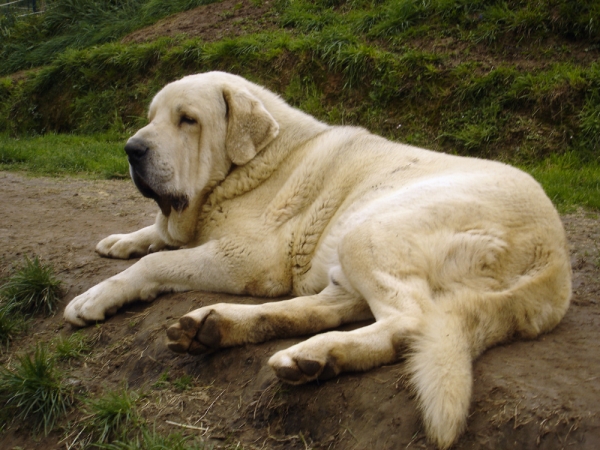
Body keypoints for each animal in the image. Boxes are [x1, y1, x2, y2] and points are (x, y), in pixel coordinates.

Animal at [64, 72, 572, 448]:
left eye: (187, 120)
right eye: (151, 118)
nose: (132, 149)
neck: (252, 164)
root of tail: (555, 260)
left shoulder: (248, 258)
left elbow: (157, 264)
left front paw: (94, 297)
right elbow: (154, 235)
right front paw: (120, 241)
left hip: (369, 231)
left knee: (410, 321)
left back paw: (312, 352)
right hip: (355, 249)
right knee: (326, 308)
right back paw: (229, 329)